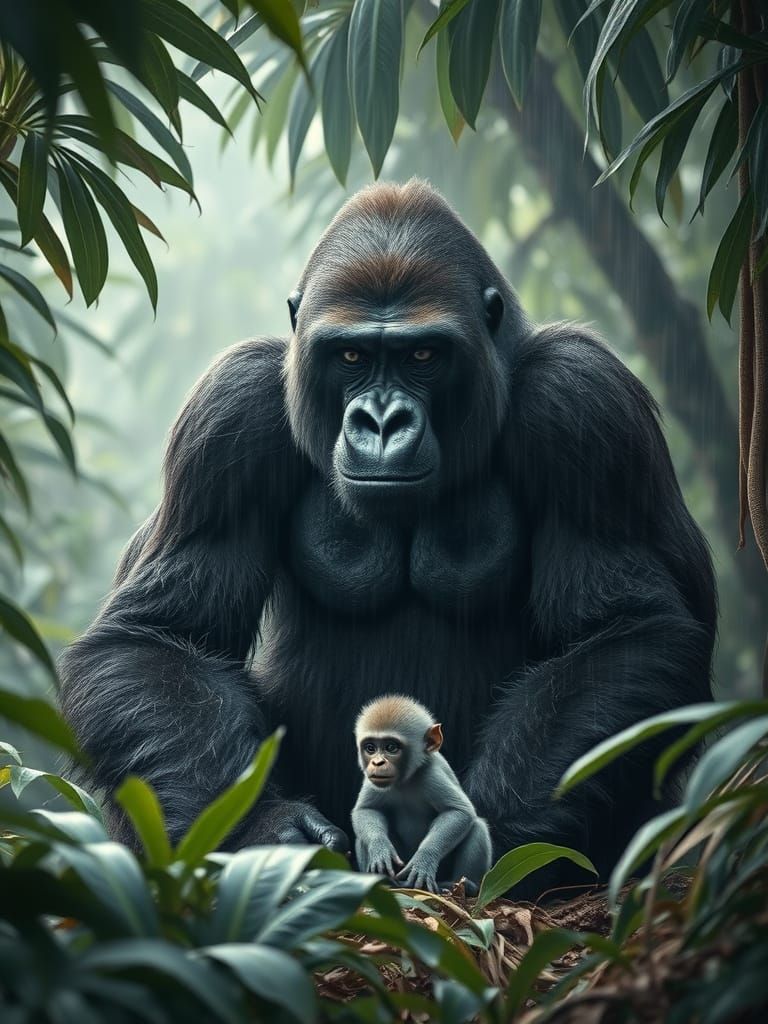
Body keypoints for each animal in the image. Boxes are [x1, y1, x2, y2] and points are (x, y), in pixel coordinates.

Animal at [351, 695, 492, 894]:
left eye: (391, 747)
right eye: (370, 748)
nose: (377, 763)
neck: (405, 781)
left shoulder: (431, 775)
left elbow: (459, 812)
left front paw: (423, 861)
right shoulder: (372, 780)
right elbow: (366, 810)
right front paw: (380, 848)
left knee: (477, 826)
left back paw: (463, 886)